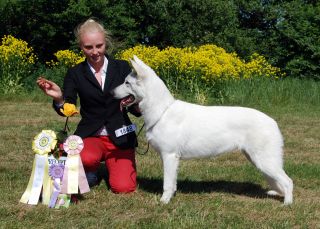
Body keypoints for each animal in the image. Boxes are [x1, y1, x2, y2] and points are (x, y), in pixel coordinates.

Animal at [112, 56, 292, 206]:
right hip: (257, 160)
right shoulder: (171, 159)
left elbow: (167, 184)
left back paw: (287, 204)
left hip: (264, 161)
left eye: (127, 83)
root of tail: (272, 121)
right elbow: (173, 183)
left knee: (288, 181)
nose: (110, 92)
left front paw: (164, 202)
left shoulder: (169, 156)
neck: (162, 111)